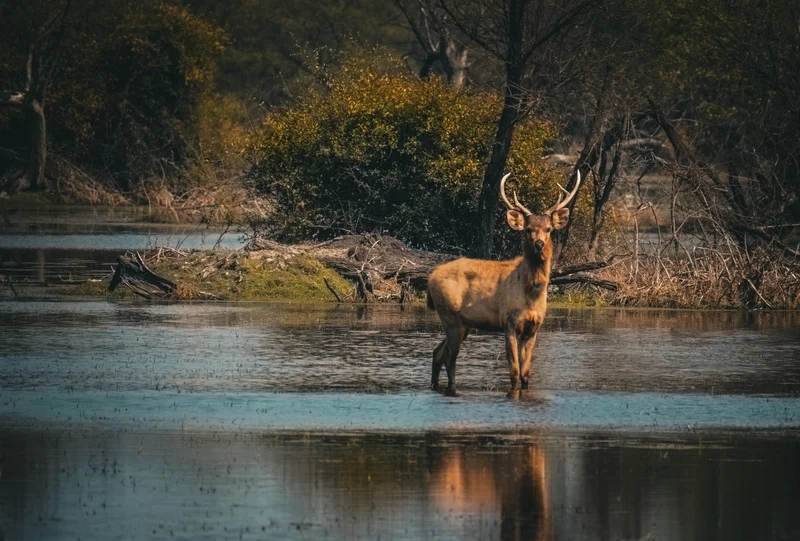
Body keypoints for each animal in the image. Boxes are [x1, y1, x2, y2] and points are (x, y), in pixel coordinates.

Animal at [426, 171, 581, 396]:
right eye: (528, 229)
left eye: (549, 229)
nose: (539, 244)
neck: (531, 294)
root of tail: (430, 279)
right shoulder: (509, 322)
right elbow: (514, 372)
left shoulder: (533, 328)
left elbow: (526, 374)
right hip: (450, 316)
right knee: (450, 359)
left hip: (463, 324)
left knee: (437, 353)